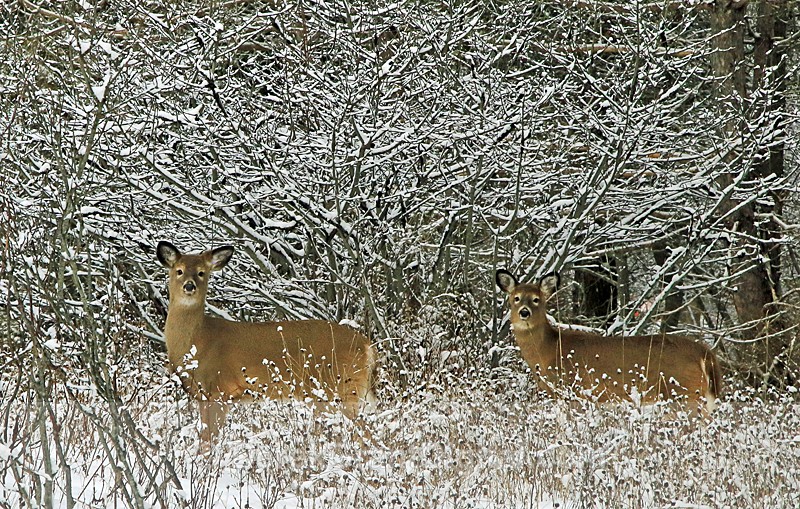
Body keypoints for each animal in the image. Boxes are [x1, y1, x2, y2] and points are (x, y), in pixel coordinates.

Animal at [156, 241, 377, 446]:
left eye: (202, 272)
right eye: (179, 270)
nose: (189, 286)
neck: (197, 341)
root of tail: (367, 345)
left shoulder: (217, 390)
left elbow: (208, 441)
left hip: (337, 386)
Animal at [495, 269, 721, 418]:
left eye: (536, 299)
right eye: (515, 298)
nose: (524, 312)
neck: (548, 351)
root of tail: (705, 353)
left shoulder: (572, 391)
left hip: (685, 393)